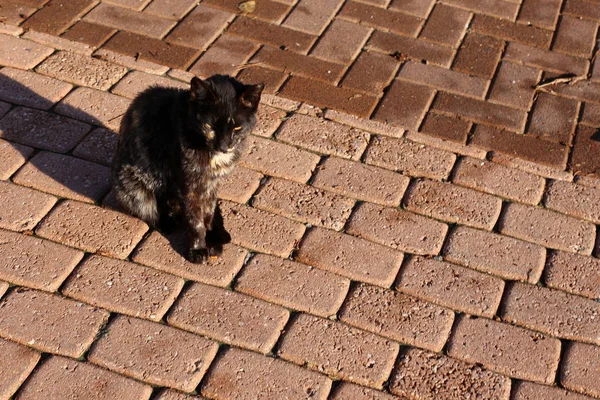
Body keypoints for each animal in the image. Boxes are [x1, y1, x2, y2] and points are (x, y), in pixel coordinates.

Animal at [112, 75, 262, 262]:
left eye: (237, 127)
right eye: (210, 126)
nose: (223, 146)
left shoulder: (212, 184)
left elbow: (208, 212)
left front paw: (210, 237)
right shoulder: (189, 185)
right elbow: (195, 220)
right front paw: (198, 249)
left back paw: (220, 235)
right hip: (131, 183)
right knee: (149, 210)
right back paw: (167, 223)